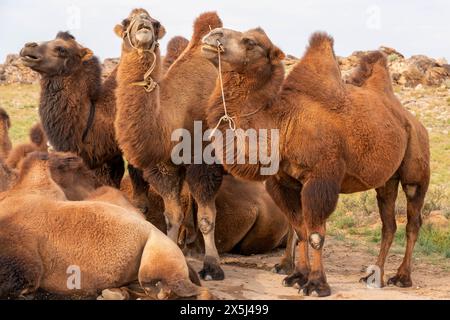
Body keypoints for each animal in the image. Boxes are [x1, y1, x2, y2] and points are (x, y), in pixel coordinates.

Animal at [114, 9, 227, 280]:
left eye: (155, 23)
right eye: (126, 21)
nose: (143, 24)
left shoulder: (205, 161)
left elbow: (207, 217)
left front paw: (212, 266)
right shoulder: (164, 167)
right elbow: (171, 216)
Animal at [202, 28, 430, 296]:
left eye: (250, 42)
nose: (213, 34)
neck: (282, 121)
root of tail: (413, 121)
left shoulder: (320, 178)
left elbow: (315, 235)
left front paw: (316, 285)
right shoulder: (284, 182)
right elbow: (300, 230)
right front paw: (296, 277)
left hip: (416, 168)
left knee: (413, 221)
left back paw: (402, 277)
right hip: (387, 179)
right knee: (389, 224)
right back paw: (374, 276)